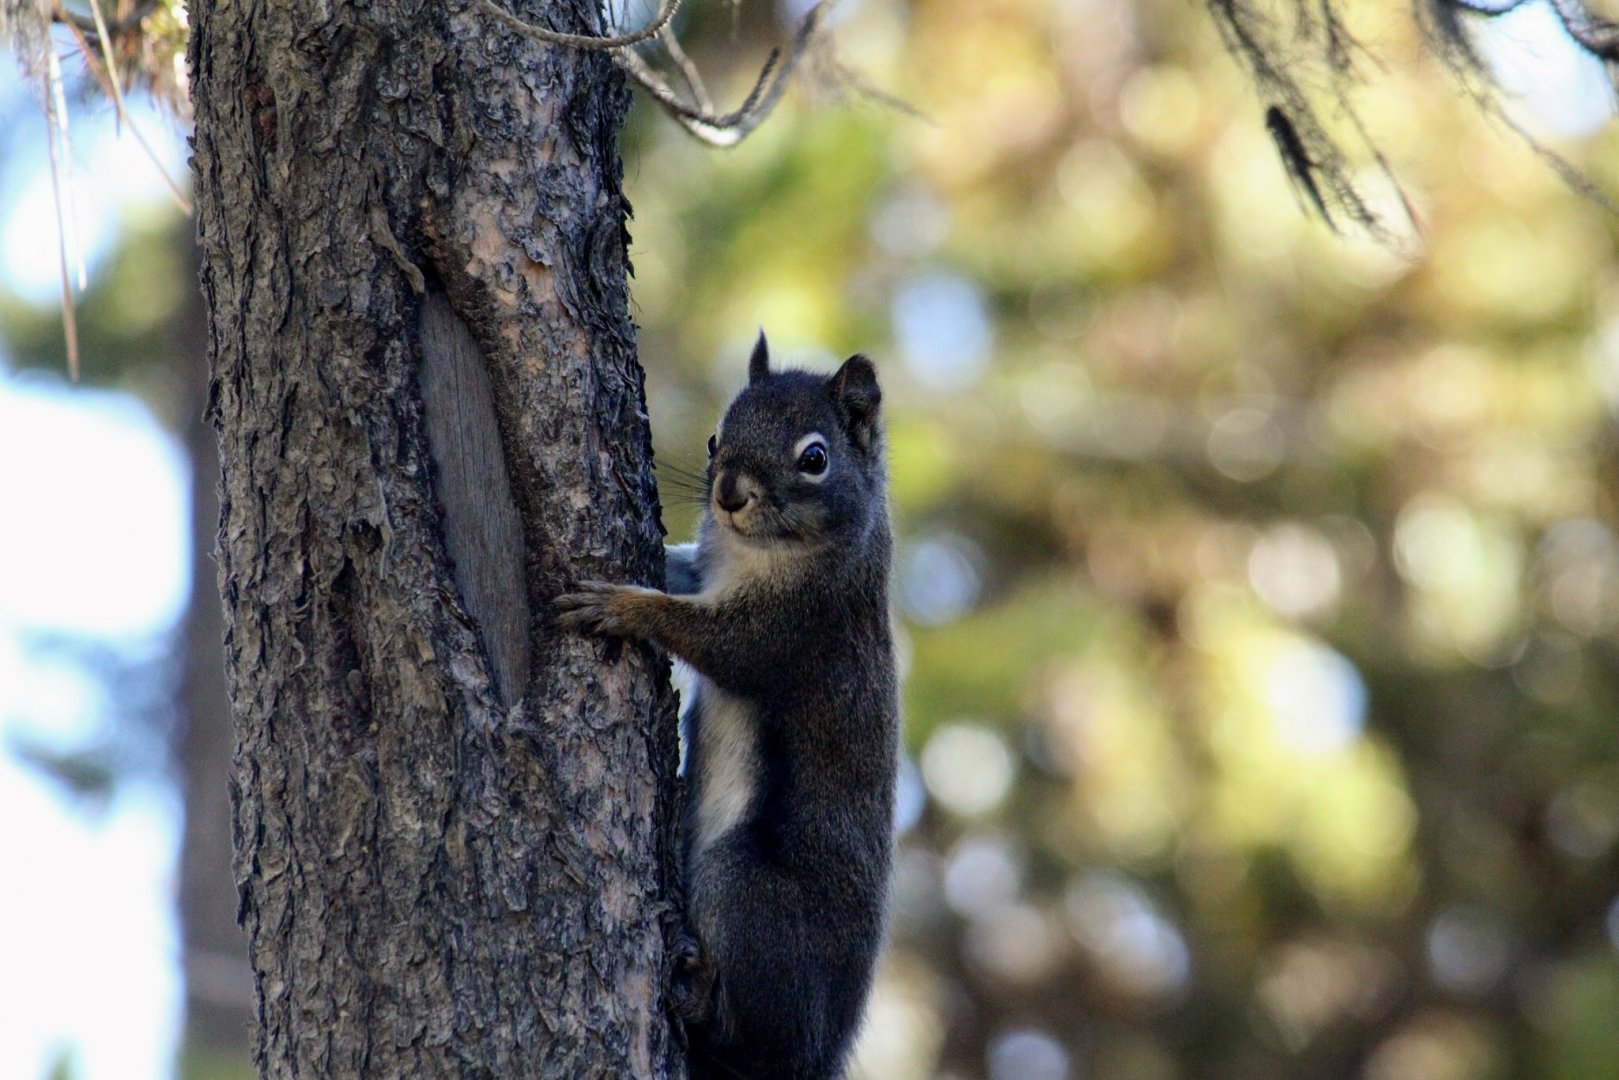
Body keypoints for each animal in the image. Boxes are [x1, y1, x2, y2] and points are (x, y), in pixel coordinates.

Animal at [557, 333, 899, 1080]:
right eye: (717, 437)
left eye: (814, 458)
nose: (729, 494)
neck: (756, 550)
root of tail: (818, 1056)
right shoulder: (708, 568)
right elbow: (679, 570)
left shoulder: (796, 626)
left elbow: (719, 643)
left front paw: (620, 605)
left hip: (742, 885)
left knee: (749, 1036)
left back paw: (698, 1000)